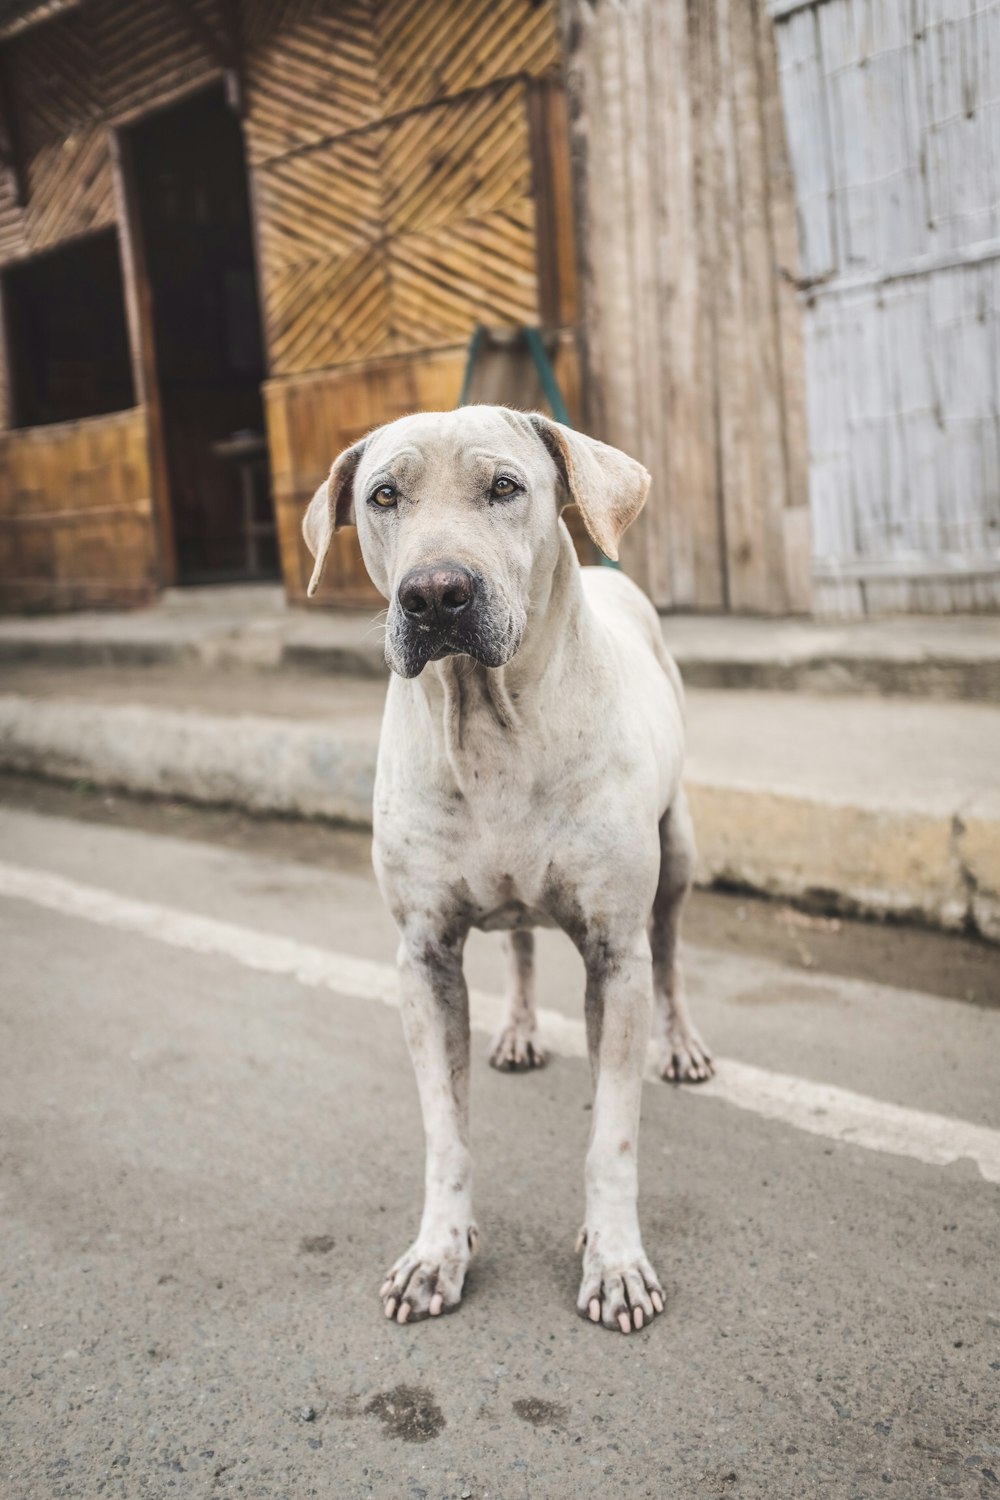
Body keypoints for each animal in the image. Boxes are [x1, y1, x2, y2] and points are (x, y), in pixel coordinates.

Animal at [302, 408, 710, 1338]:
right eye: (384, 495)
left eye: (504, 487)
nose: (434, 593)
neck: (490, 722)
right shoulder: (422, 957)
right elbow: (444, 1131)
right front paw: (439, 1250)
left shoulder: (616, 954)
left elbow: (612, 1137)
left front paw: (615, 1259)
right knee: (520, 943)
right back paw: (520, 1028)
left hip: (677, 853)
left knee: (671, 954)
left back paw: (681, 1045)